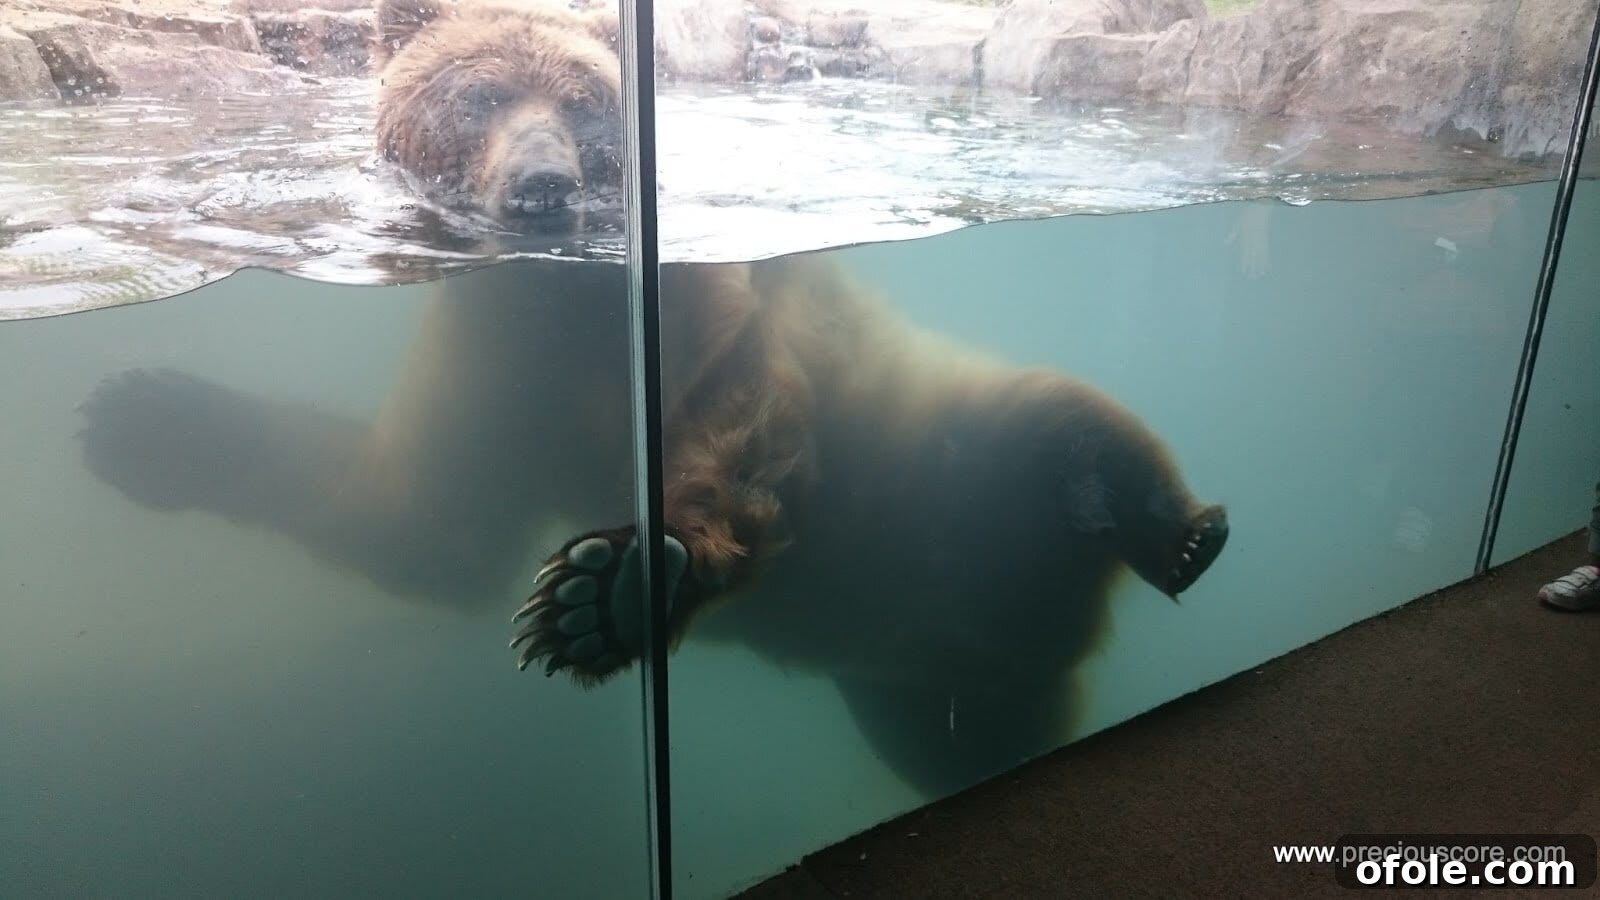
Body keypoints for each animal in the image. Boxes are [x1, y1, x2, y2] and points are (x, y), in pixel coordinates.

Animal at [77, 0, 1229, 795]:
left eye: (589, 100)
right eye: (479, 94)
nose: (542, 185)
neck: (566, 307)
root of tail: (1054, 637)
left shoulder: (717, 309)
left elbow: (743, 413)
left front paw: (609, 590)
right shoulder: (491, 352)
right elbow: (428, 518)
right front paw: (140, 418)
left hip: (947, 429)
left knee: (1062, 416)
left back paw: (1170, 526)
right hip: (914, 676)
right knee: (963, 731)